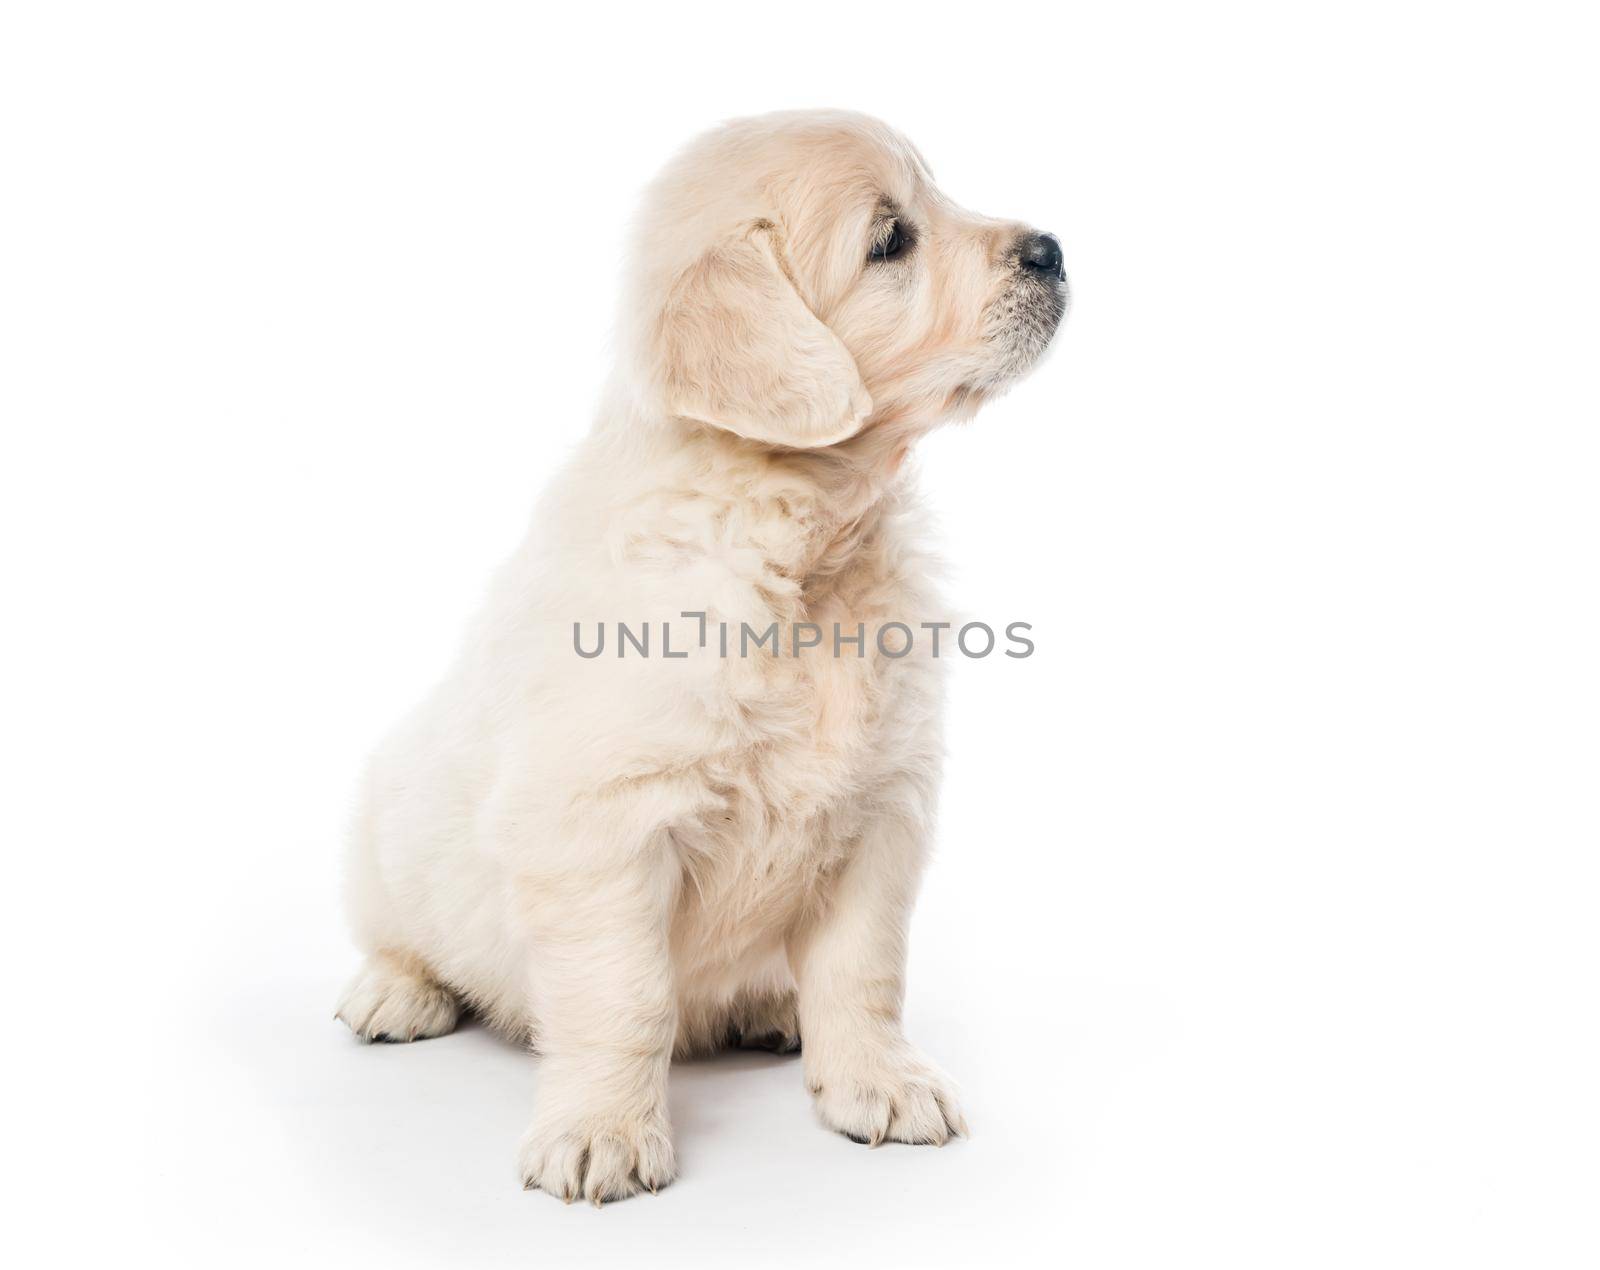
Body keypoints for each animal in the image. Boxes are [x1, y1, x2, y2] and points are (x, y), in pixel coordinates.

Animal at [334, 108, 1062, 1196]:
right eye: (890, 240)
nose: (1053, 249)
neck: (805, 549)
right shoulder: (607, 825)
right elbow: (622, 996)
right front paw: (602, 1127)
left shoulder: (883, 806)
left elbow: (863, 971)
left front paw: (878, 1082)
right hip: (385, 829)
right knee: (398, 933)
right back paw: (396, 992)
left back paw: (769, 1004)